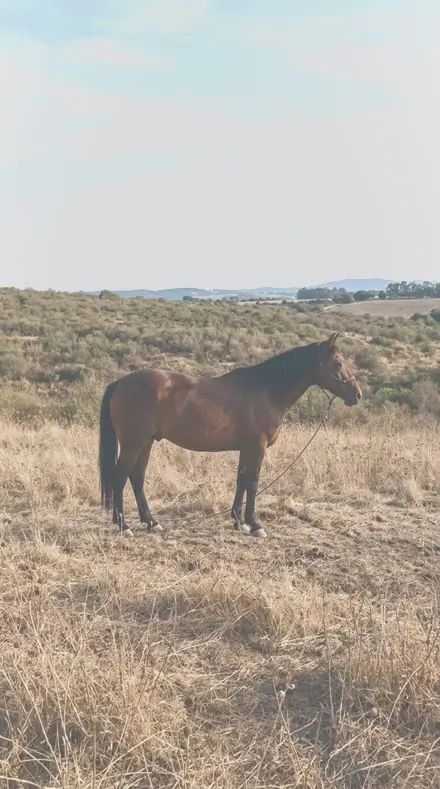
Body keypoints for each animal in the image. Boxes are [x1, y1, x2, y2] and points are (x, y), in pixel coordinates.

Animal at [98, 332, 362, 538]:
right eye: (338, 362)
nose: (357, 394)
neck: (266, 389)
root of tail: (121, 382)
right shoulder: (257, 447)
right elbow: (253, 483)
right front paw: (255, 525)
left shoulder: (247, 448)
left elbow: (241, 481)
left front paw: (238, 521)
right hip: (133, 443)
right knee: (120, 478)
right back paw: (124, 525)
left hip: (146, 442)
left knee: (137, 477)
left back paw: (151, 522)